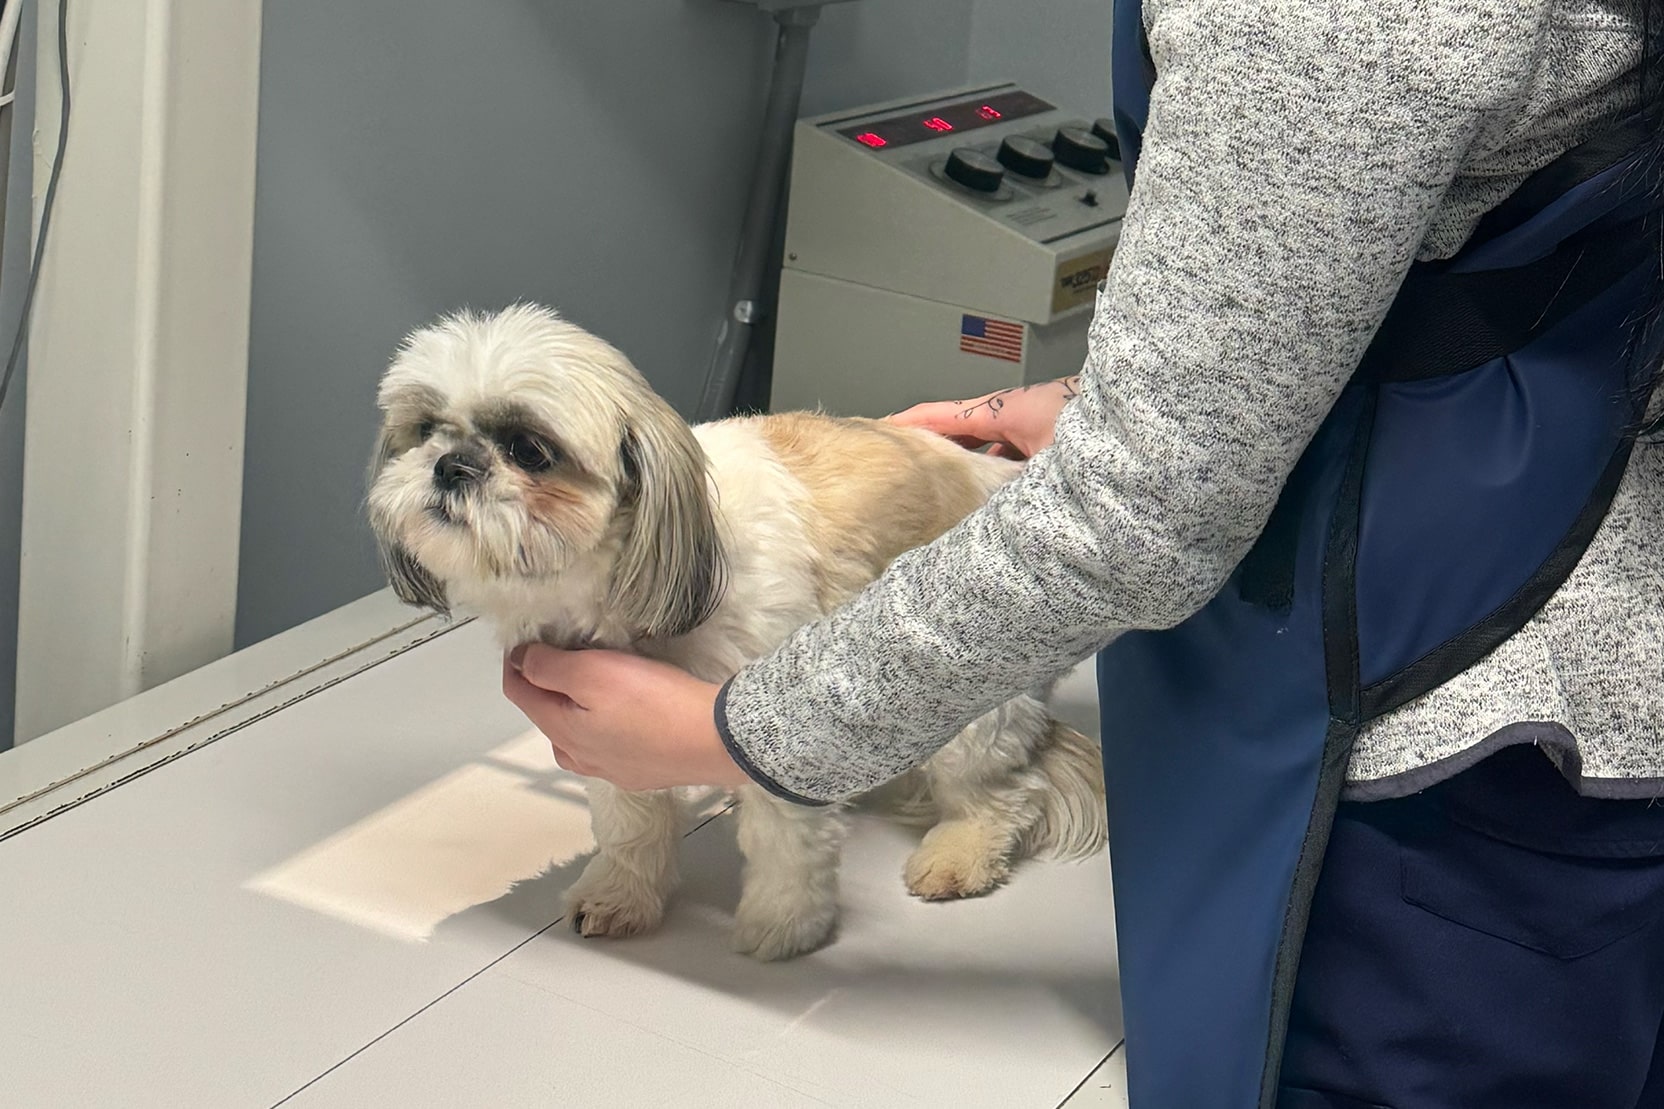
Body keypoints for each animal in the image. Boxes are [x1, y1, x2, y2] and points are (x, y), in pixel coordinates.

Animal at [364, 303, 1104, 959]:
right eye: (425, 429)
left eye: (529, 449)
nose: (452, 465)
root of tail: (996, 471)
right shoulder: (598, 729)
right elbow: (629, 824)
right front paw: (622, 894)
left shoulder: (765, 722)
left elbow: (785, 838)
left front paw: (785, 926)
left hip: (967, 694)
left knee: (1000, 792)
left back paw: (959, 854)